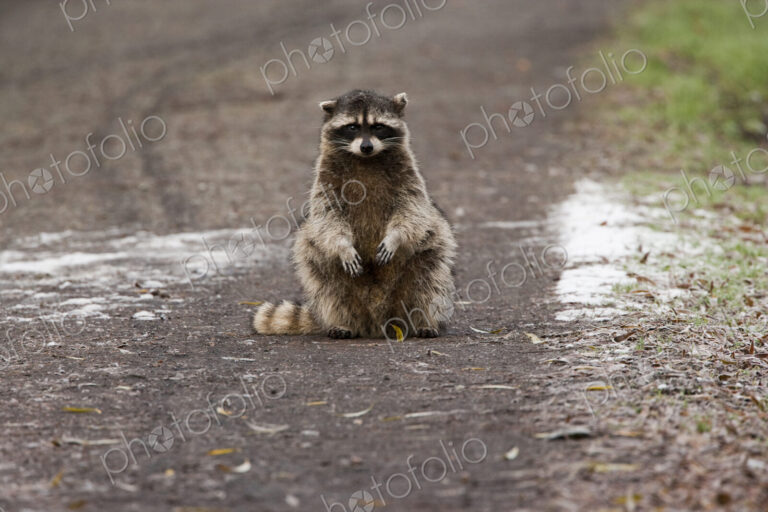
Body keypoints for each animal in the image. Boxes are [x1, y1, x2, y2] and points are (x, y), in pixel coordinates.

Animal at [253, 89, 456, 339]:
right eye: (352, 127)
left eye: (378, 126)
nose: (366, 147)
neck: (365, 159)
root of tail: (379, 323)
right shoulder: (326, 182)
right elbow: (328, 218)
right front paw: (343, 246)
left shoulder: (409, 179)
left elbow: (411, 211)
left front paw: (395, 238)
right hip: (319, 264)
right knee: (326, 280)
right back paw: (342, 322)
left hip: (429, 255)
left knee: (429, 278)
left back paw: (424, 321)